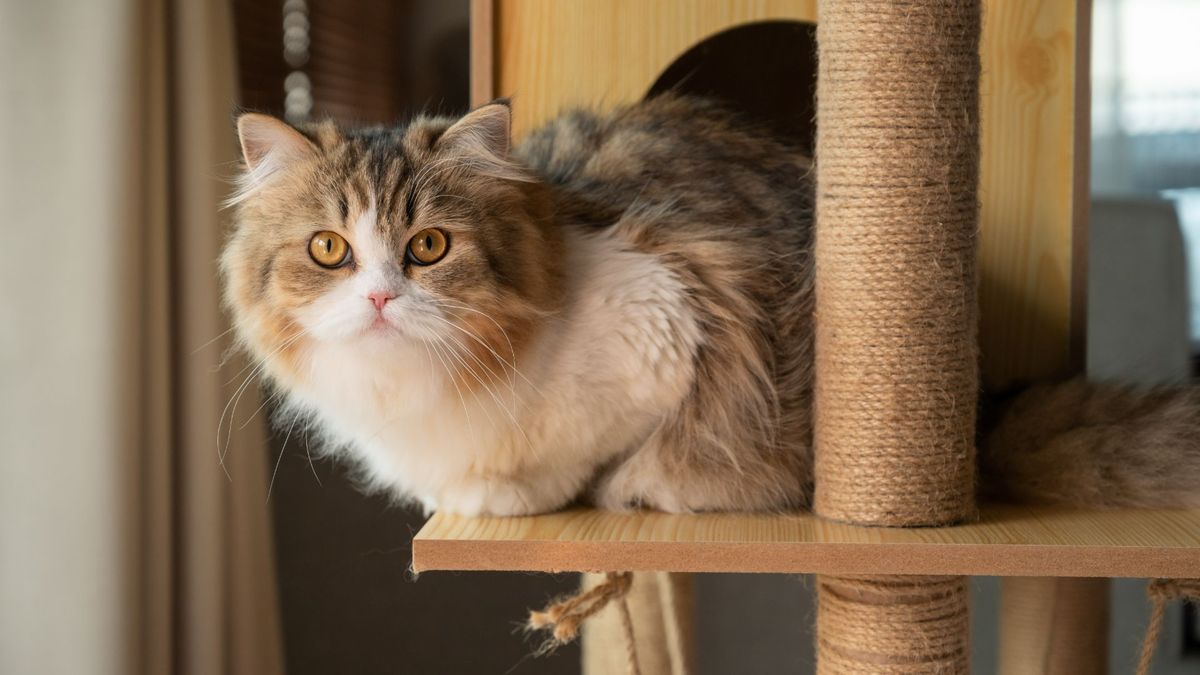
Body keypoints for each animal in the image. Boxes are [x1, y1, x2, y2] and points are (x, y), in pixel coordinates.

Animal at [225, 94, 1200, 514]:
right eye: (329, 250)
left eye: (428, 246)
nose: (380, 295)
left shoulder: (673, 315)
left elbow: (585, 460)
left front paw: (521, 495)